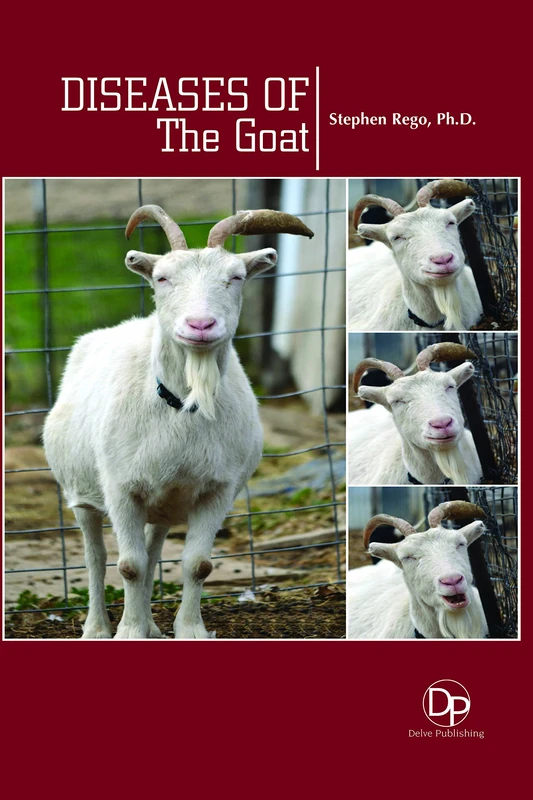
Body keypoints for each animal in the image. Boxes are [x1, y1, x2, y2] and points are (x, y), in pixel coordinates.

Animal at [43, 205, 314, 639]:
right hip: (82, 493)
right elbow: (128, 566)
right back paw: (98, 628)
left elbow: (196, 565)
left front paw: (189, 630)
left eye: (236, 277)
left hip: (164, 504)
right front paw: (129, 632)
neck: (184, 404)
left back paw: (152, 626)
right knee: (96, 557)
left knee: (153, 552)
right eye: (162, 277)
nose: (200, 325)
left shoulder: (217, 491)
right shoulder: (121, 489)